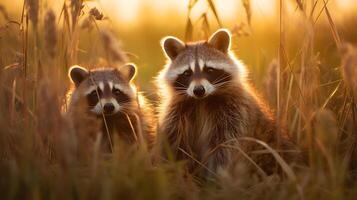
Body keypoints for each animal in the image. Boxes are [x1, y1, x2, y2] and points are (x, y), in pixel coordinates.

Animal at [156, 29, 298, 177]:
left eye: (209, 70)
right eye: (187, 73)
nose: (199, 90)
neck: (202, 101)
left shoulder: (235, 113)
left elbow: (225, 147)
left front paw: (216, 175)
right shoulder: (175, 113)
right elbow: (174, 143)